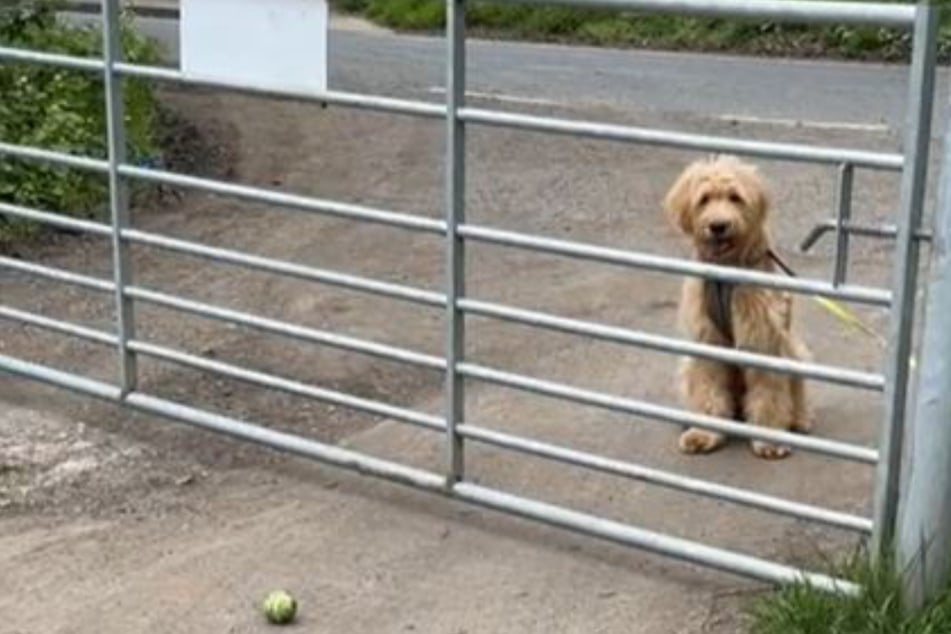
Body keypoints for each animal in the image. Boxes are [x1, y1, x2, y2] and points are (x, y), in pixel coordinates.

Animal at [664, 154, 816, 460]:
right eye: (705, 199)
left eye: (735, 197)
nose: (718, 226)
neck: (726, 275)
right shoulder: (706, 342)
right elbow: (708, 390)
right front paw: (705, 433)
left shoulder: (763, 339)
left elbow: (769, 394)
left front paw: (769, 439)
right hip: (688, 365)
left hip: (794, 352)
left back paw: (799, 420)